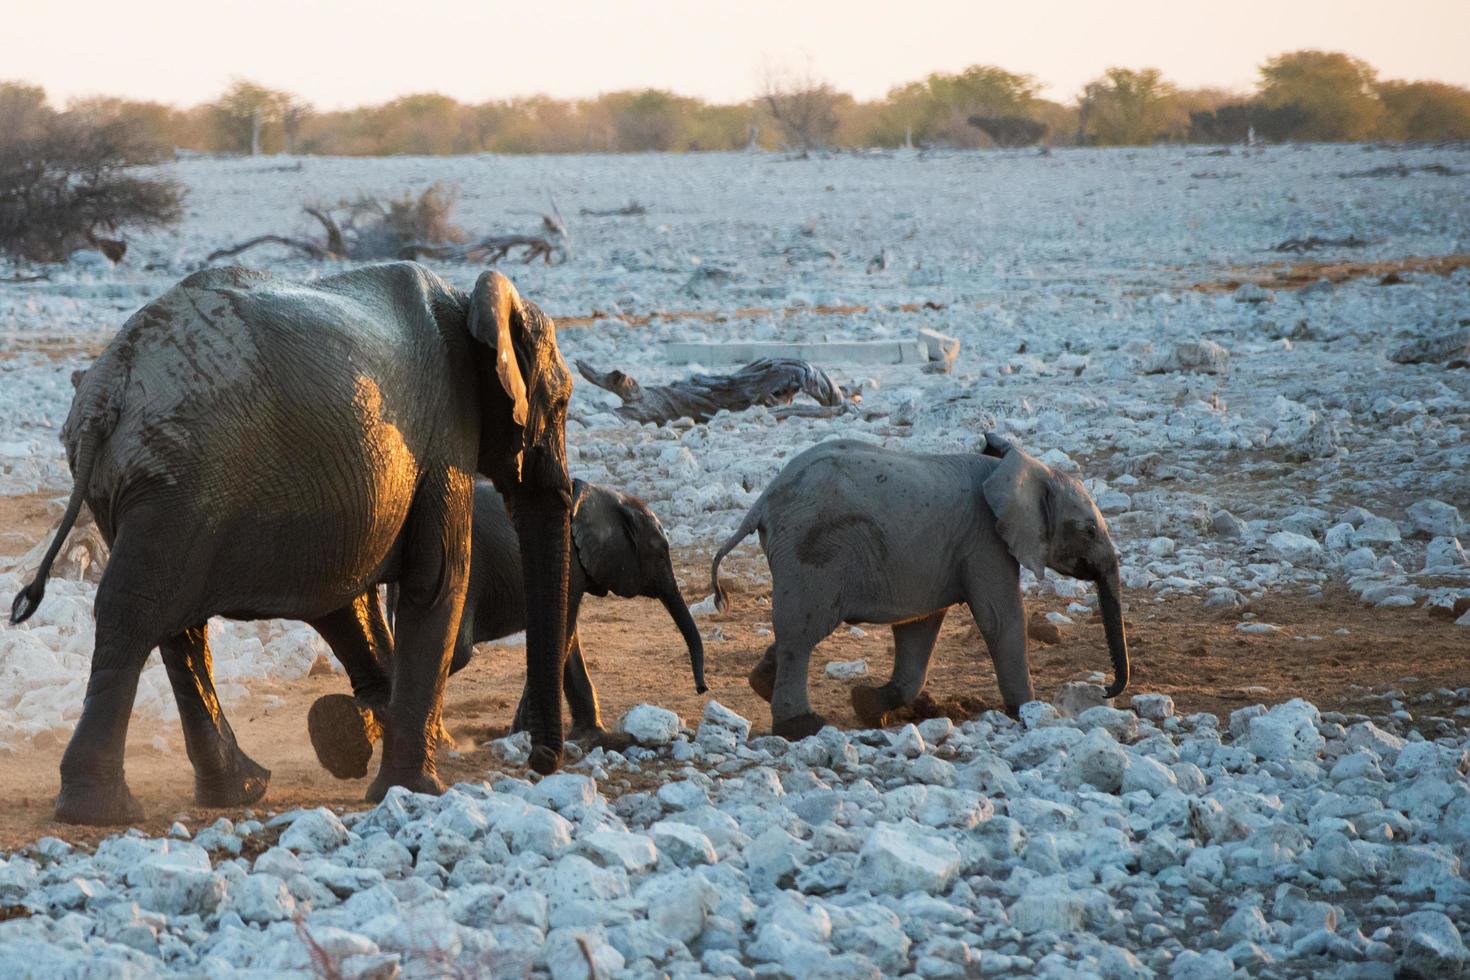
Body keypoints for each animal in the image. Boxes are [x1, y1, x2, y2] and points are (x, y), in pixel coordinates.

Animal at [11, 262, 573, 828]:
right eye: (563, 403)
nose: (542, 760)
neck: (469, 301)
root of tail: (103, 395)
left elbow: (344, 601)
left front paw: (355, 731)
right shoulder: (447, 433)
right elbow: (436, 583)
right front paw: (412, 788)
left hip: (148, 490)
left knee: (170, 623)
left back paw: (234, 791)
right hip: (181, 480)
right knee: (139, 613)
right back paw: (102, 811)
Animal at [307, 478, 702, 775]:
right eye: (661, 550)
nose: (701, 688)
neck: (603, 494)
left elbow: (566, 640)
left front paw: (592, 736)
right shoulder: (570, 568)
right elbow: (562, 637)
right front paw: (522, 736)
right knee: (454, 652)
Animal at [708, 431, 1123, 740]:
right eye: (1089, 531)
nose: (1105, 690)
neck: (1020, 469)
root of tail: (762, 502)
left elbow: (920, 626)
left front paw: (868, 706)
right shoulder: (985, 540)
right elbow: (1000, 619)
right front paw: (1028, 711)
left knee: (796, 626)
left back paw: (763, 683)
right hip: (812, 550)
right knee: (802, 631)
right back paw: (801, 727)